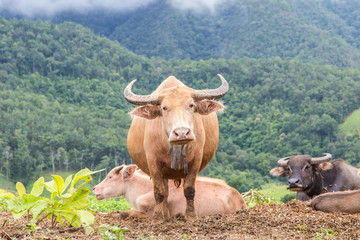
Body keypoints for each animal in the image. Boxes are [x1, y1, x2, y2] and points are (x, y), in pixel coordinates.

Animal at [124, 74, 228, 221]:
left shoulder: (196, 161)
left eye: (191, 105)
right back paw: (164, 215)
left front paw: (191, 216)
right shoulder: (153, 162)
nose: (182, 133)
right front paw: (157, 217)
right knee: (165, 191)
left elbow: (189, 190)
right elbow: (159, 192)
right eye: (164, 108)